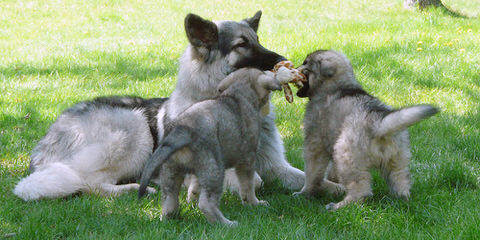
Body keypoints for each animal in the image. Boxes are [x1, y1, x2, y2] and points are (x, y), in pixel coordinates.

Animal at [139, 67, 294, 225]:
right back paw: (226, 224)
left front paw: (192, 197)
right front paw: (254, 203)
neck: (238, 94)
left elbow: (195, 185)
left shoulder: (198, 172)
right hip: (215, 169)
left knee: (169, 198)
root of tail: (183, 129)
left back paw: (170, 218)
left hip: (172, 171)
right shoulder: (247, 161)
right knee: (206, 203)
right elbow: (248, 186)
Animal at [292, 50, 438, 210]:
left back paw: (340, 205)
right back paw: (402, 199)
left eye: (306, 63)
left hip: (346, 153)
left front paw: (305, 193)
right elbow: (331, 170)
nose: (294, 68)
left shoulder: (315, 142)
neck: (337, 85)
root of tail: (379, 123)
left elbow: (312, 172)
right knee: (400, 178)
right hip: (397, 158)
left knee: (360, 189)